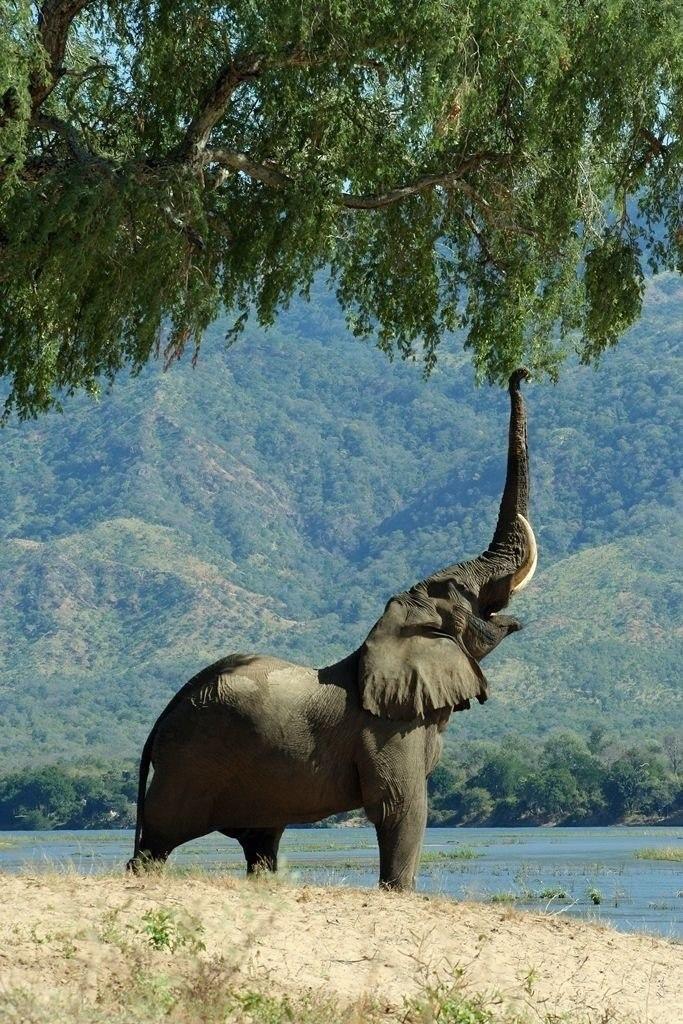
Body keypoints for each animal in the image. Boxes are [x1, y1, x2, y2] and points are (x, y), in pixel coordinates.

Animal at [128, 369, 537, 890]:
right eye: (462, 592)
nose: (519, 374)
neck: (390, 632)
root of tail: (161, 720)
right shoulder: (386, 729)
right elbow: (401, 808)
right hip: (190, 762)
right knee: (159, 840)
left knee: (261, 842)